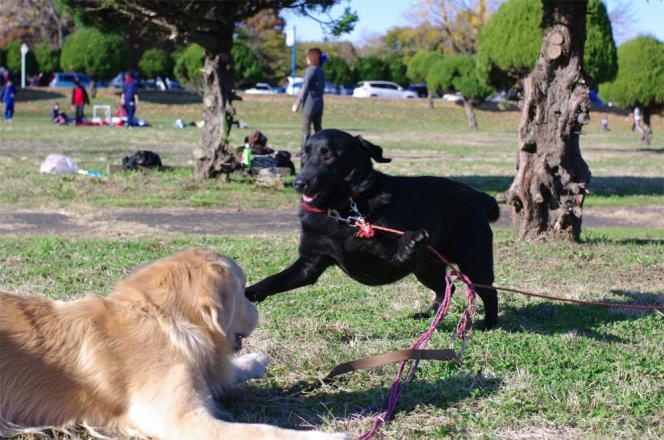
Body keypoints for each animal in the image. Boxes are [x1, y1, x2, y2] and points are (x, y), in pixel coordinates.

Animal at [246, 129, 500, 328]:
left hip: (474, 261)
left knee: (489, 292)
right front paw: (246, 294)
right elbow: (272, 280)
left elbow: (397, 250)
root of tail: (479, 196)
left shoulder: (387, 259)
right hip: (426, 268)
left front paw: (410, 241)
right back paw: (430, 315)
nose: (300, 184)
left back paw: (489, 323)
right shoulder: (311, 262)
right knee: (446, 289)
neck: (344, 210)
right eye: (304, 155)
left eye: (329, 155)